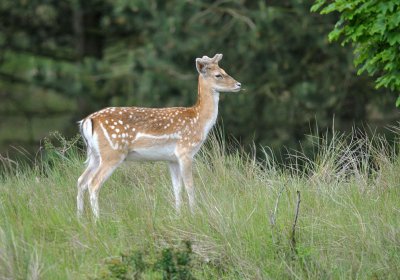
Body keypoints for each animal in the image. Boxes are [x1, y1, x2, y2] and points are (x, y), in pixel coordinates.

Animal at [77, 53, 242, 219]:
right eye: (218, 75)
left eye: (224, 70)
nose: (239, 84)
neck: (199, 121)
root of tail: (87, 121)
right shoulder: (185, 151)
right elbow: (190, 186)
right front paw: (194, 214)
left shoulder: (172, 159)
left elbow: (177, 188)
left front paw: (178, 215)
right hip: (112, 153)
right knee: (93, 183)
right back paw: (98, 219)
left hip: (95, 155)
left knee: (81, 180)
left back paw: (80, 218)